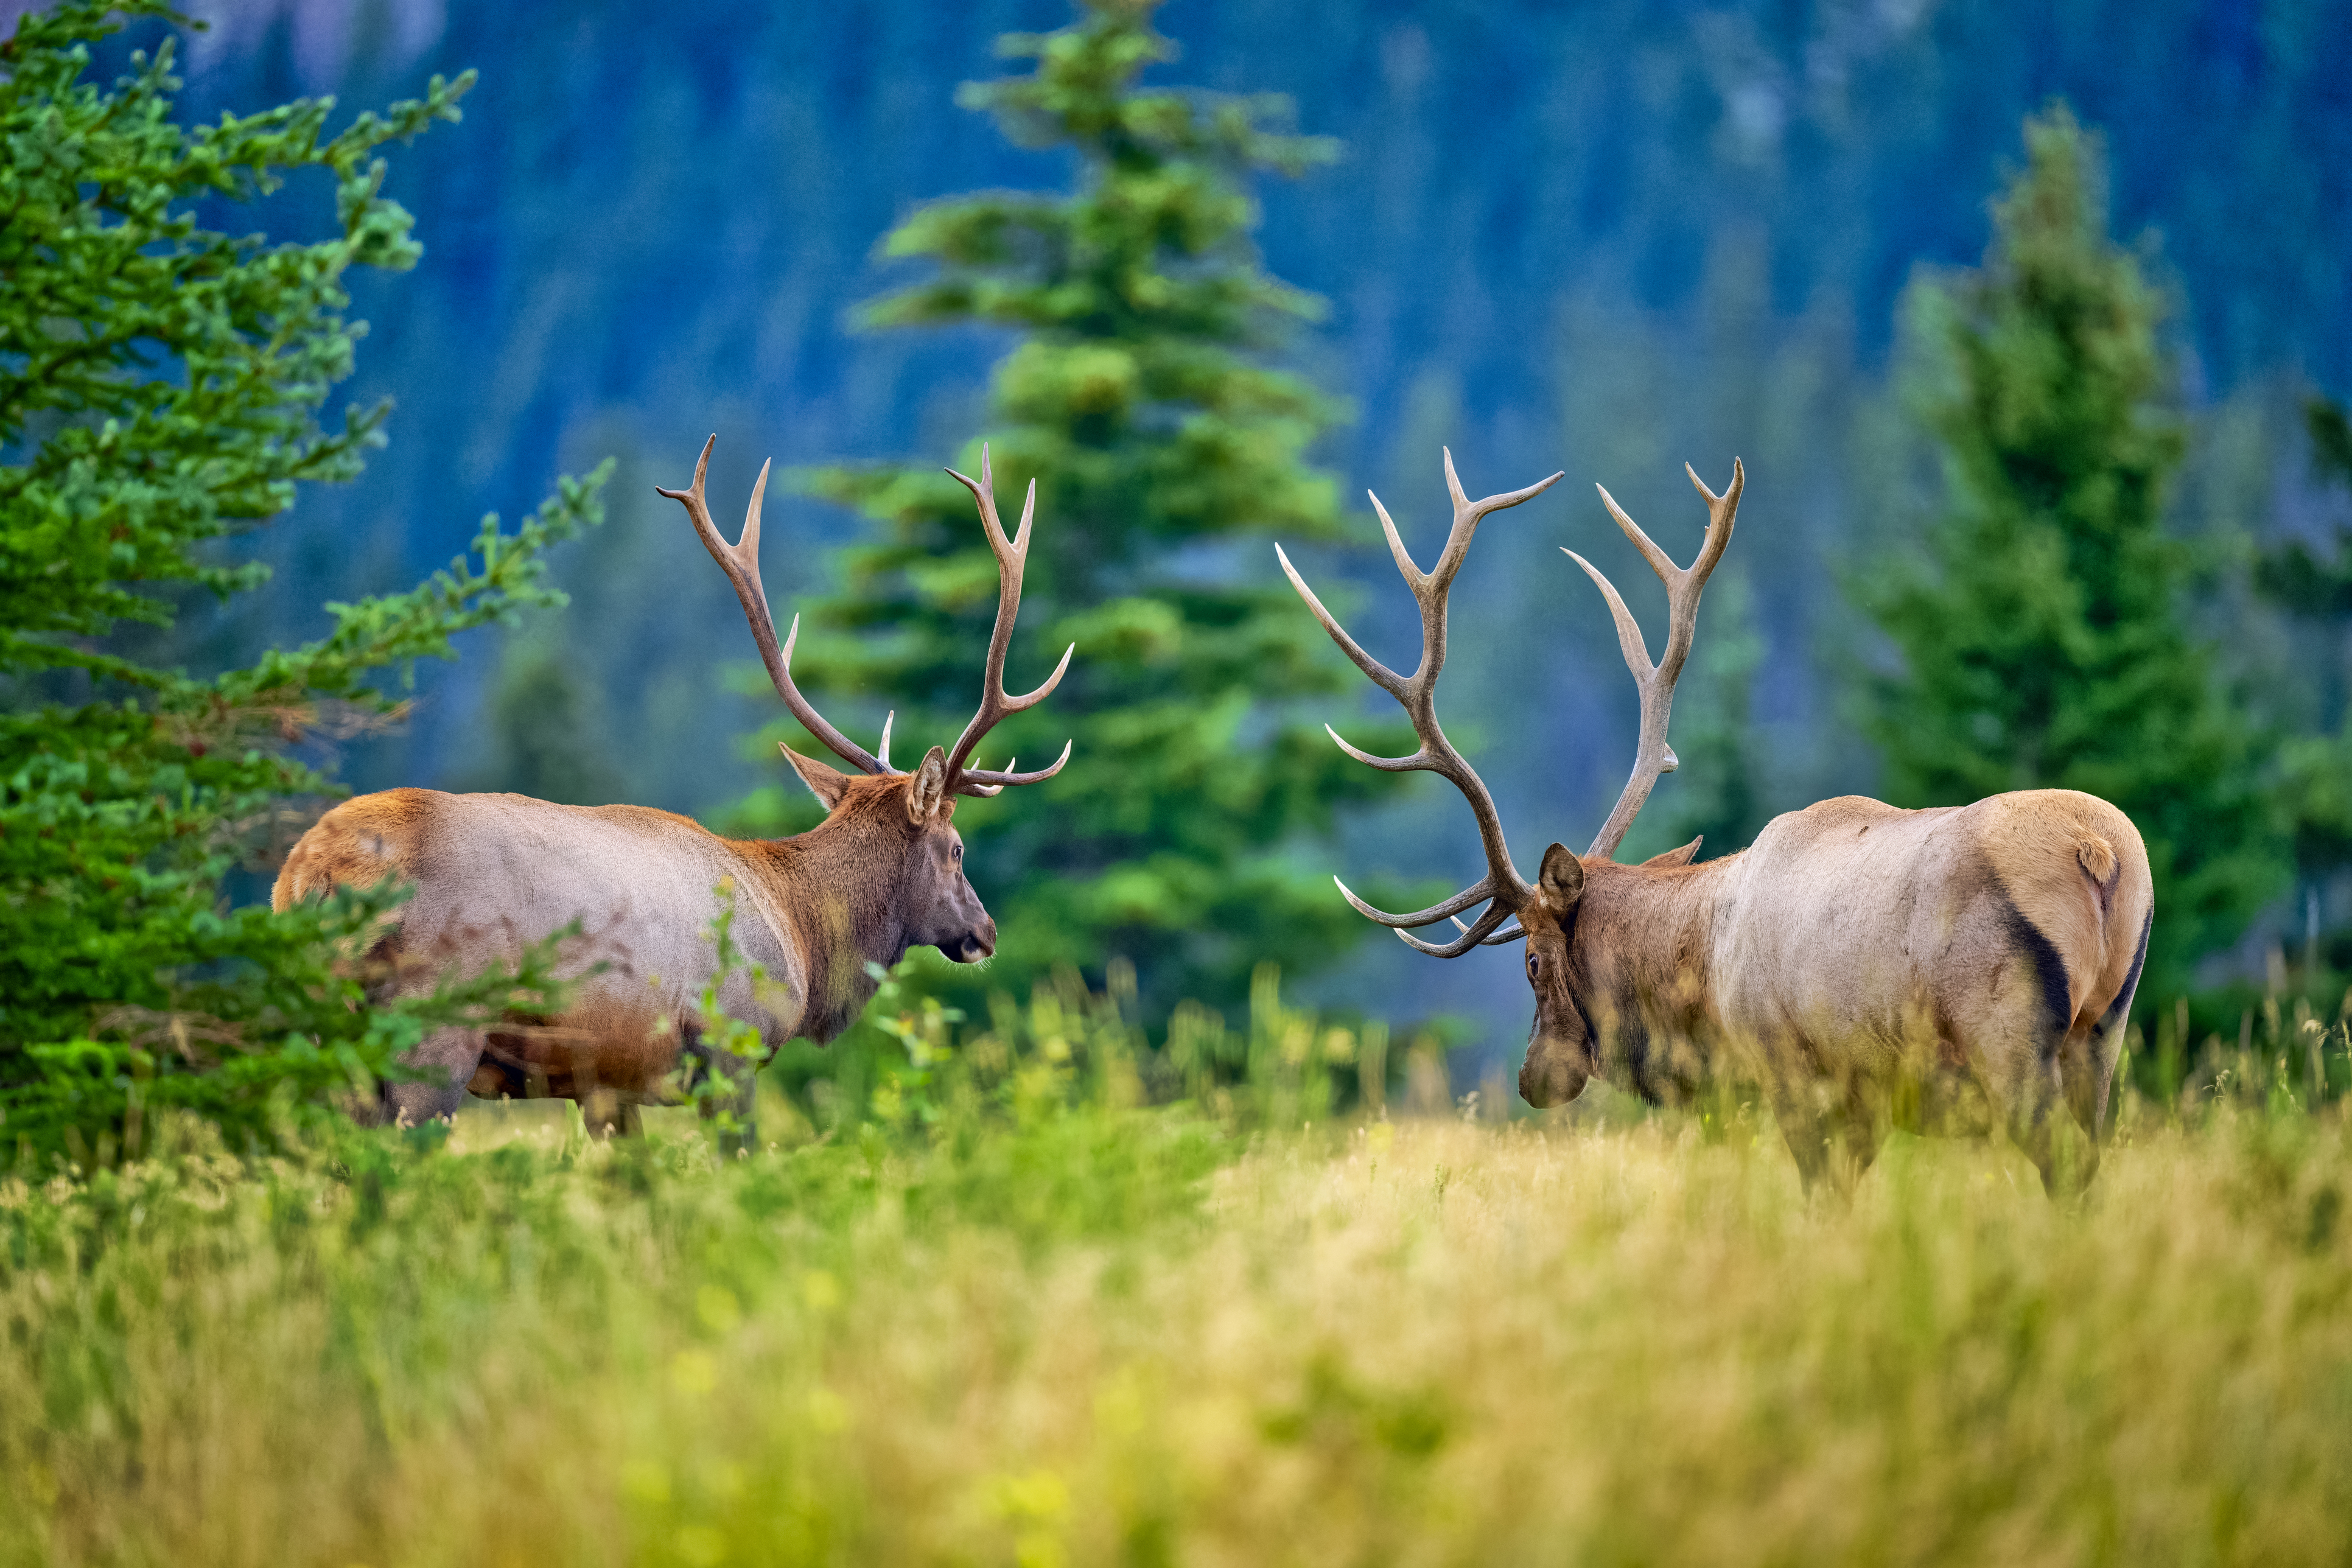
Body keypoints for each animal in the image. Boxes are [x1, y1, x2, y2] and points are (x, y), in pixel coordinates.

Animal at [274, 436, 1072, 1141]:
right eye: (958, 847)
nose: (985, 930)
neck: (801, 931)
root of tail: (308, 877)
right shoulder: (731, 1042)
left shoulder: (605, 1080)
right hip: (431, 1031)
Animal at [1279, 452, 2153, 1194]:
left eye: (1530, 960)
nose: (1532, 1079)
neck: (1699, 978)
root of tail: (2101, 854)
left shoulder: (1798, 1079)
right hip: (2103, 1040)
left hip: (2007, 1036)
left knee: (2061, 1164)